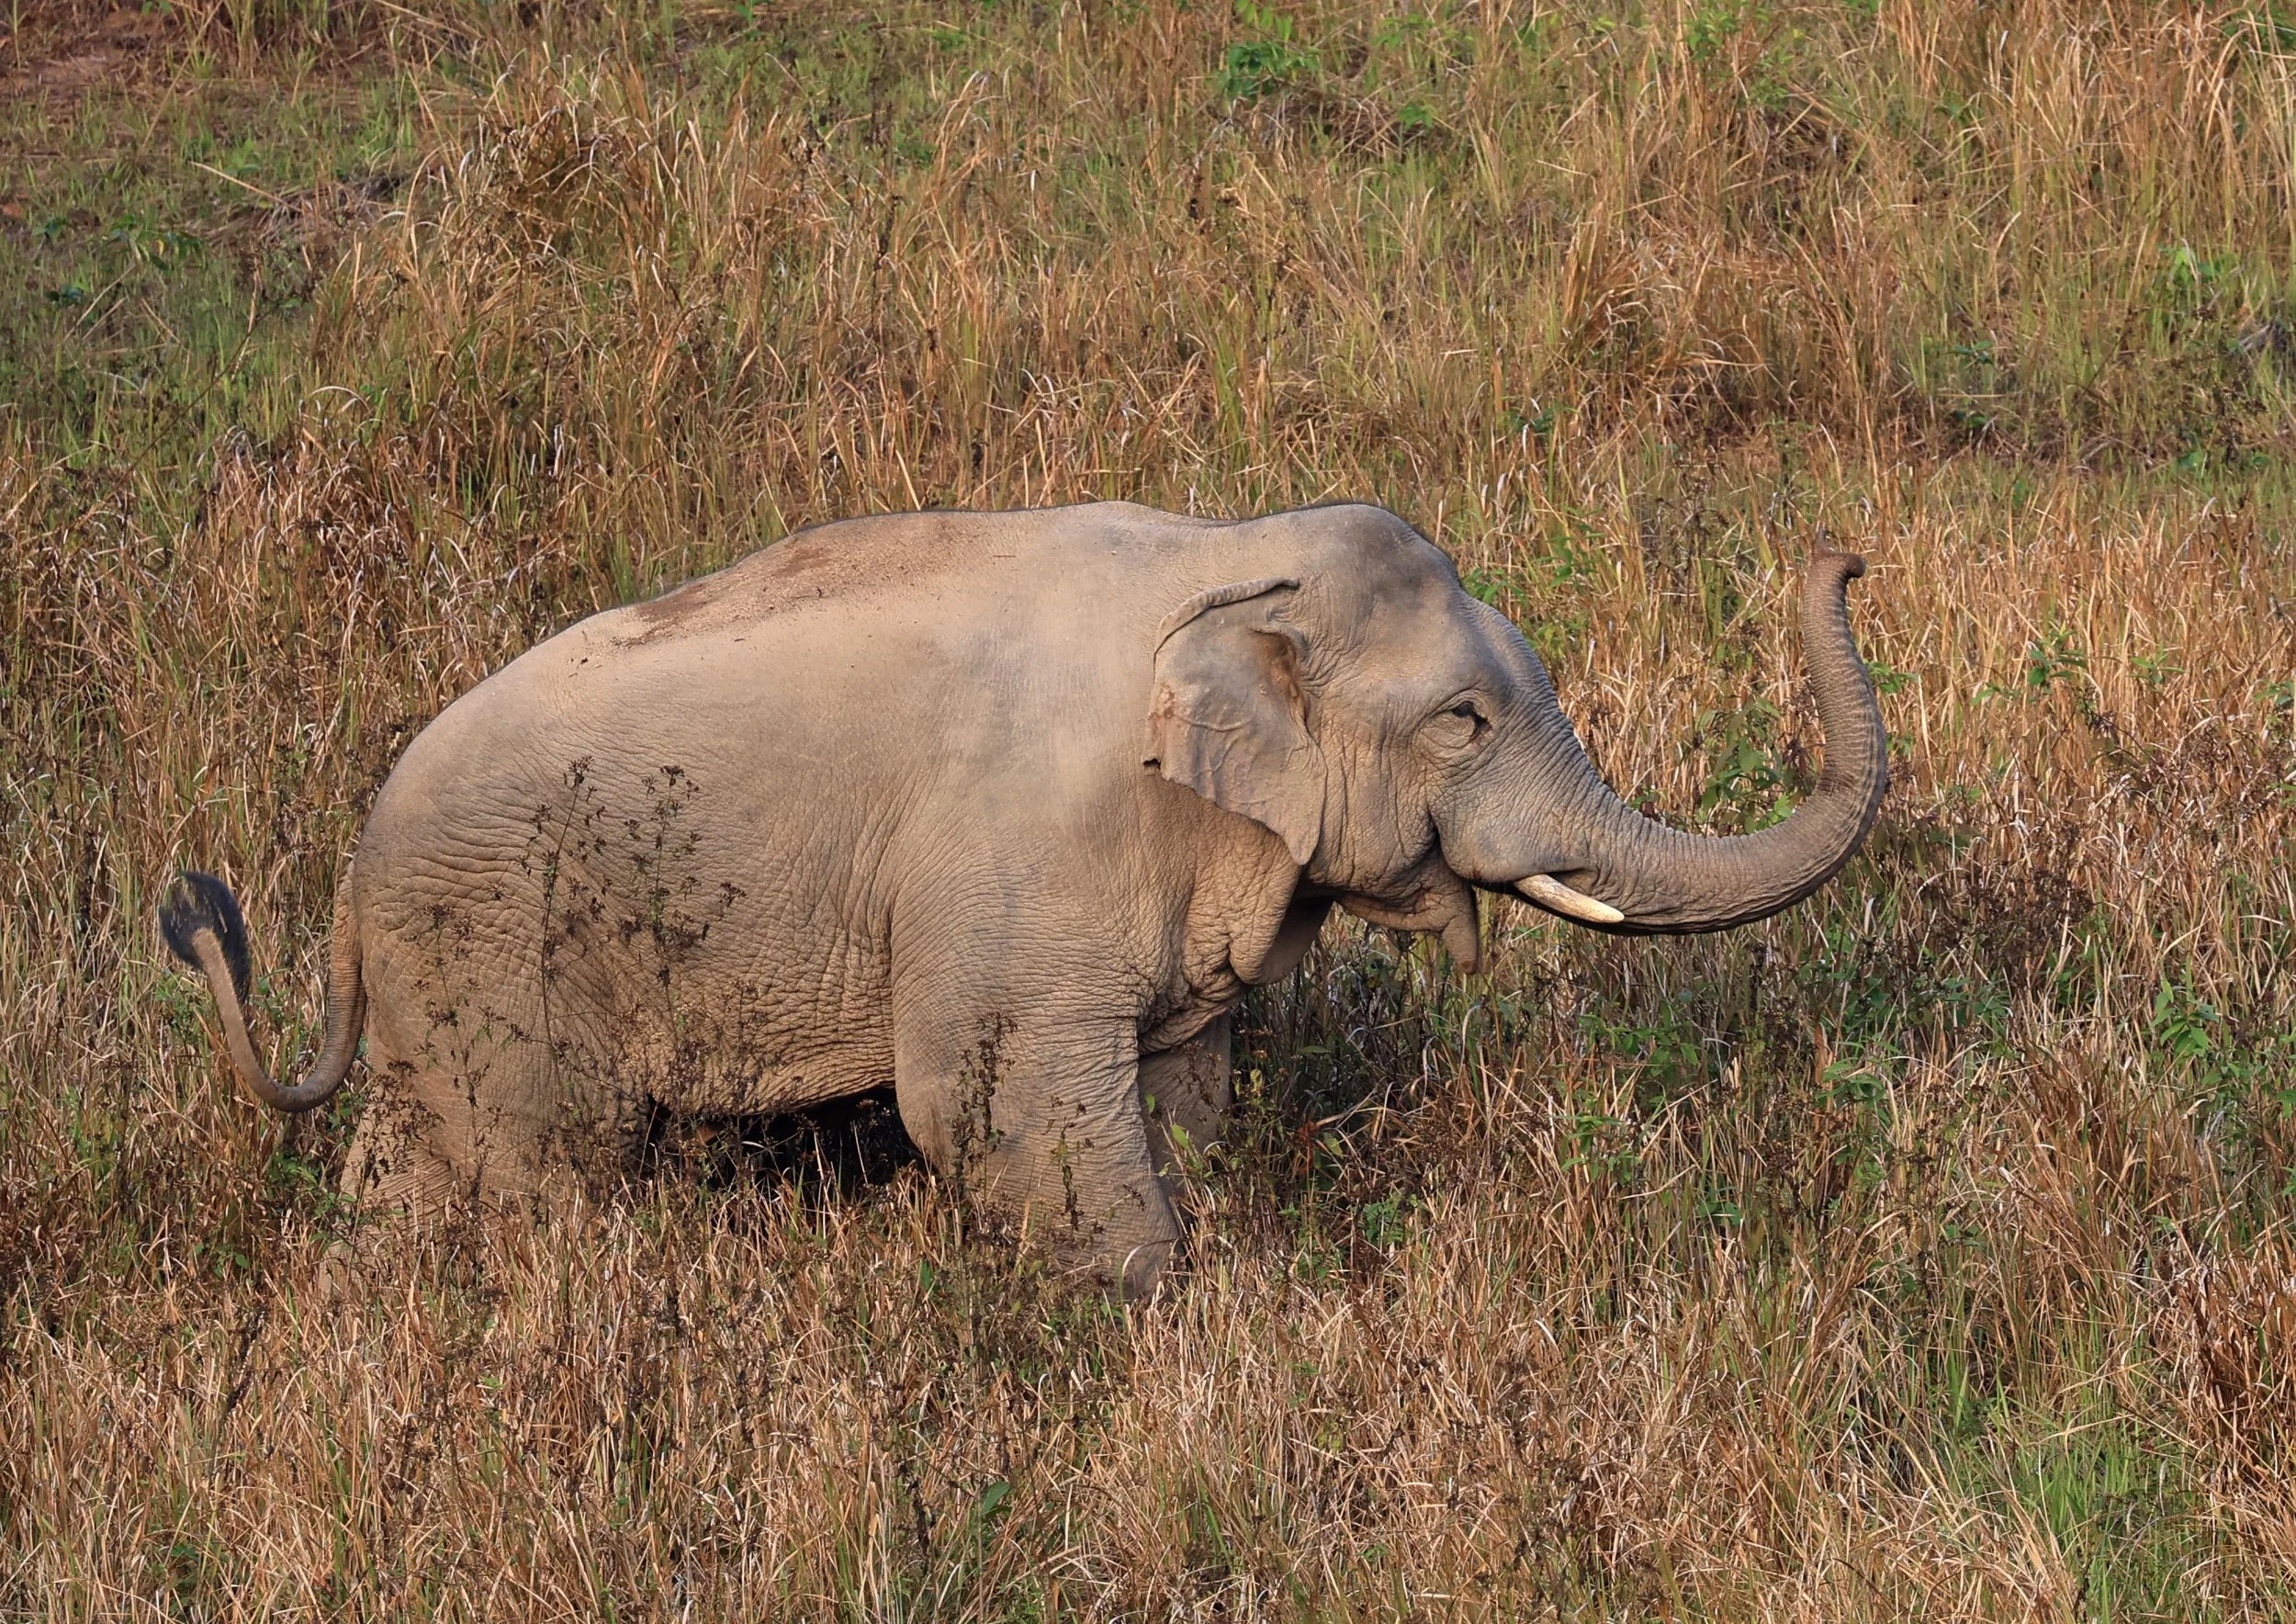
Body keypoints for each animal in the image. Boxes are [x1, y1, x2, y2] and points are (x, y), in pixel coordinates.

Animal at [161, 501, 1887, 1293]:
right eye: (1464, 719)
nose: (1846, 555)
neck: (1224, 558)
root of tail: (350, 876)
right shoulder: (1022, 861)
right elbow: (990, 1105)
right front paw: (1161, 1318)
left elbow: (1178, 1082)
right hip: (498, 953)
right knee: (544, 1177)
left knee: (412, 1169)